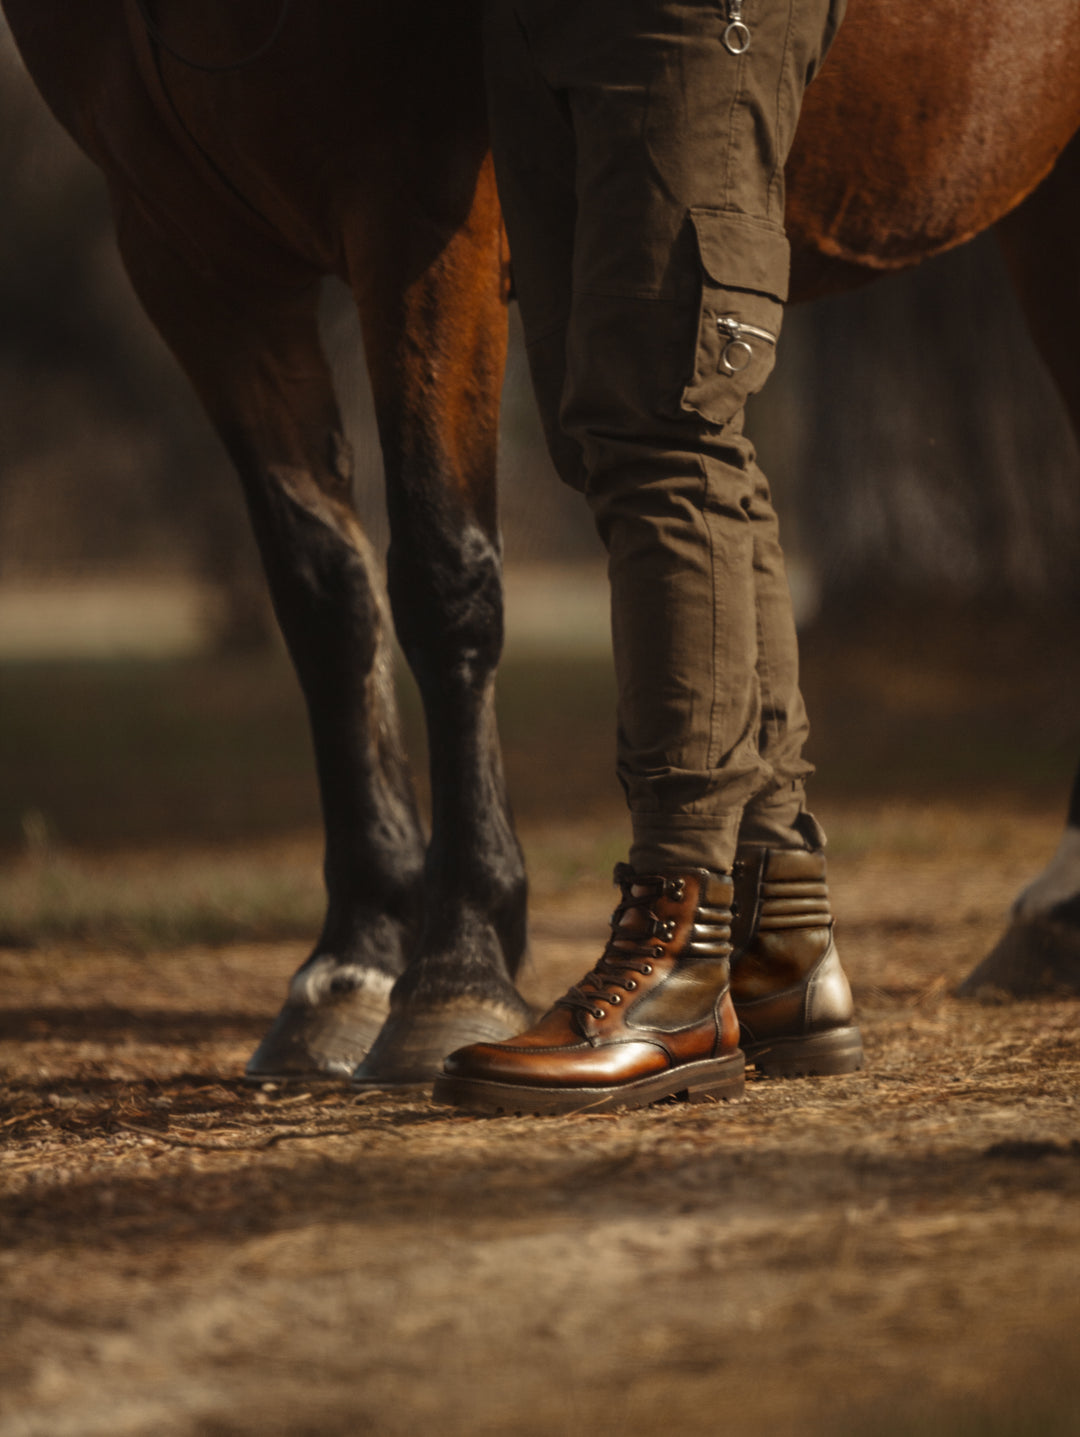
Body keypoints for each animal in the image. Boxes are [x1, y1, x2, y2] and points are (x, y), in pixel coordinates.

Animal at [2, 0, 1080, 1080]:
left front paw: (457, 966)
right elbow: (325, 599)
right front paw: (352, 963)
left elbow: (441, 576)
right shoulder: (189, 252)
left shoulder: (424, 212)